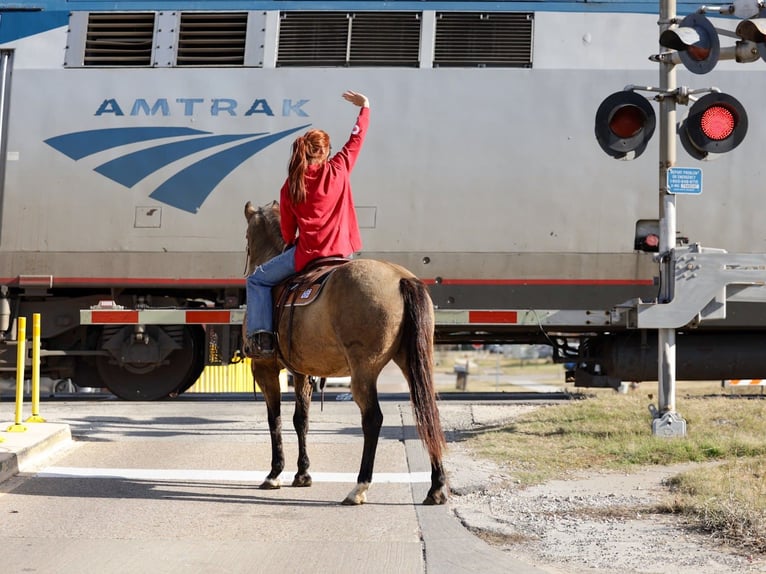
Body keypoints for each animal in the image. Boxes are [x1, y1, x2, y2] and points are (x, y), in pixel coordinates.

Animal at [242, 200, 447, 505]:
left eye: (247, 237)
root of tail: (400, 278)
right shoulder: (302, 372)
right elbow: (301, 420)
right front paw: (302, 474)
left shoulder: (264, 369)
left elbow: (274, 419)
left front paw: (275, 473)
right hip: (412, 363)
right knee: (427, 413)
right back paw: (436, 487)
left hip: (364, 371)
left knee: (373, 419)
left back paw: (359, 487)